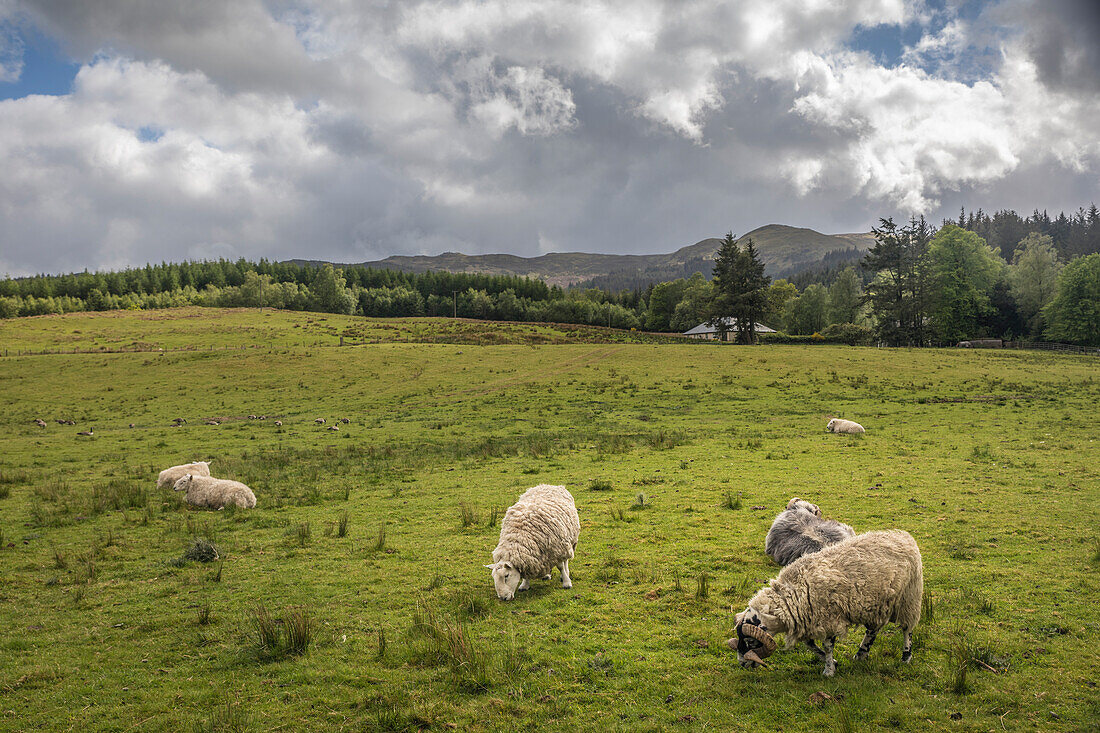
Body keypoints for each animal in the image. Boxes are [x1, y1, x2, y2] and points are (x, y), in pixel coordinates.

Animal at [734, 528, 924, 677]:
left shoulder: (829, 618)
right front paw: (833, 662)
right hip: (877, 603)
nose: (742, 663)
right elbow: (810, 645)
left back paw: (906, 657)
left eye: (750, 641)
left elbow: (827, 645)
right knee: (873, 629)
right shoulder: (809, 620)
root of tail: (904, 536)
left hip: (909, 597)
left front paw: (829, 670)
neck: (793, 592)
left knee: (907, 628)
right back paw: (861, 654)